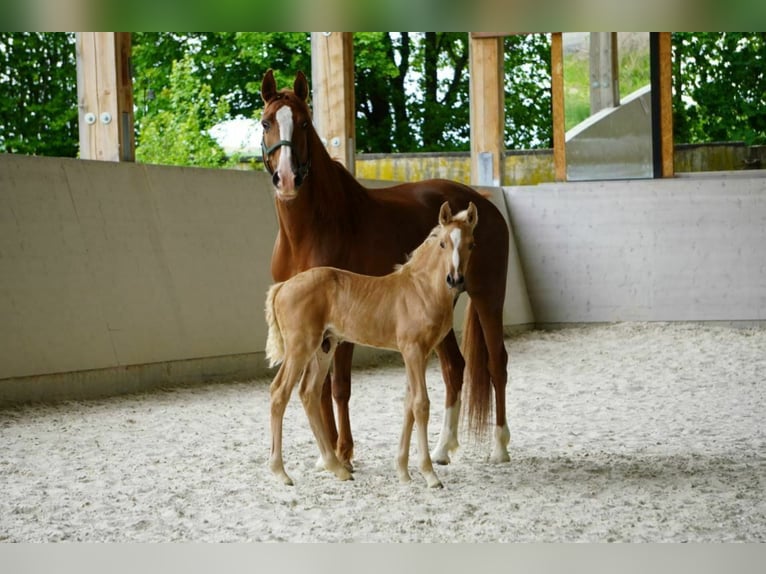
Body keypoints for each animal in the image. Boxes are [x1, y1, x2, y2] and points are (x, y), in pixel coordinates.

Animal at [268, 202, 476, 490]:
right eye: (443, 243)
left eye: (471, 244)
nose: (455, 280)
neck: (420, 289)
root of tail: (283, 287)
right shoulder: (412, 350)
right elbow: (421, 404)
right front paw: (429, 474)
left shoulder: (419, 355)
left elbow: (408, 404)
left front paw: (403, 472)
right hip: (300, 348)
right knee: (279, 393)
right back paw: (281, 472)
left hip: (324, 348)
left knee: (308, 393)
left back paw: (337, 468)